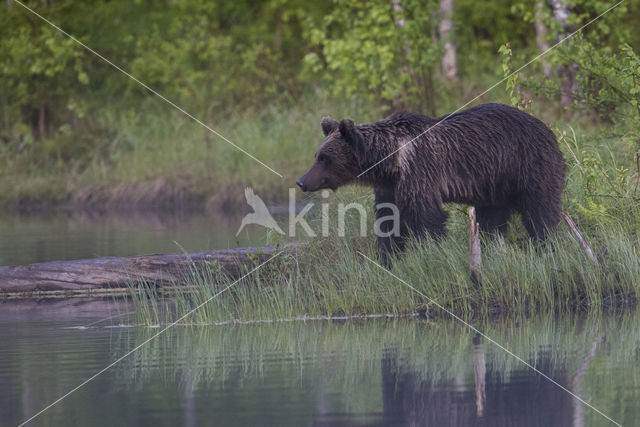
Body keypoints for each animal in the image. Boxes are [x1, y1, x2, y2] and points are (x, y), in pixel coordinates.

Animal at [296, 103, 564, 268]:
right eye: (317, 155)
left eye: (324, 158)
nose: (301, 181)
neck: (389, 161)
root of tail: (549, 129)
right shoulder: (389, 187)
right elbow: (388, 221)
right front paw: (389, 260)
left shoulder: (420, 171)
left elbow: (427, 217)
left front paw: (432, 254)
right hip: (494, 186)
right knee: (492, 219)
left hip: (528, 165)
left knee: (540, 211)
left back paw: (547, 244)